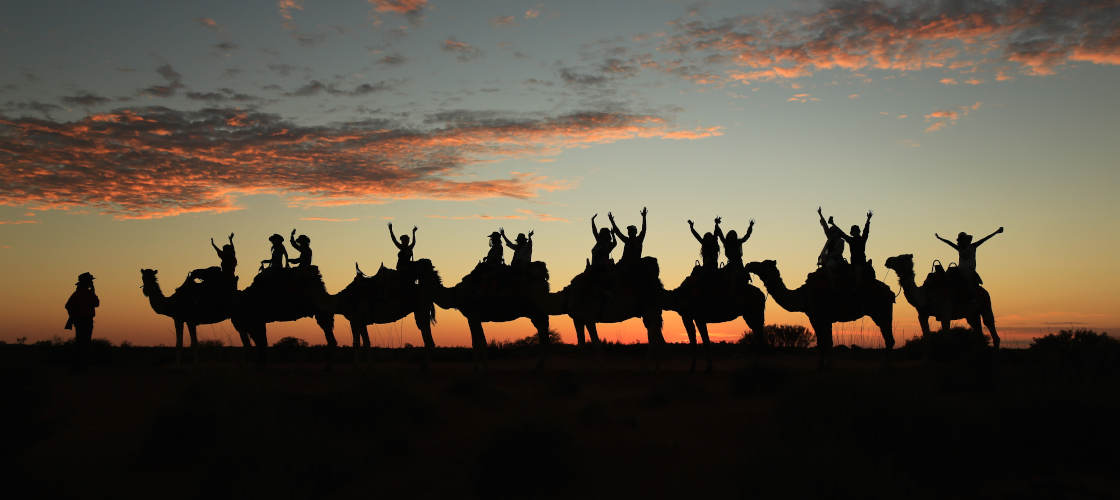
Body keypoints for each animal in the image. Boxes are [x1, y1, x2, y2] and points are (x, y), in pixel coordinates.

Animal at [745, 260, 895, 367]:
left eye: (763, 264)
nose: (749, 264)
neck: (802, 296)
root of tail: (890, 291)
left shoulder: (816, 317)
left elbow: (822, 342)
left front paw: (821, 365)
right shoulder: (826, 319)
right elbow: (828, 342)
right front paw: (828, 365)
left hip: (881, 312)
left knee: (889, 338)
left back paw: (886, 366)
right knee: (888, 338)